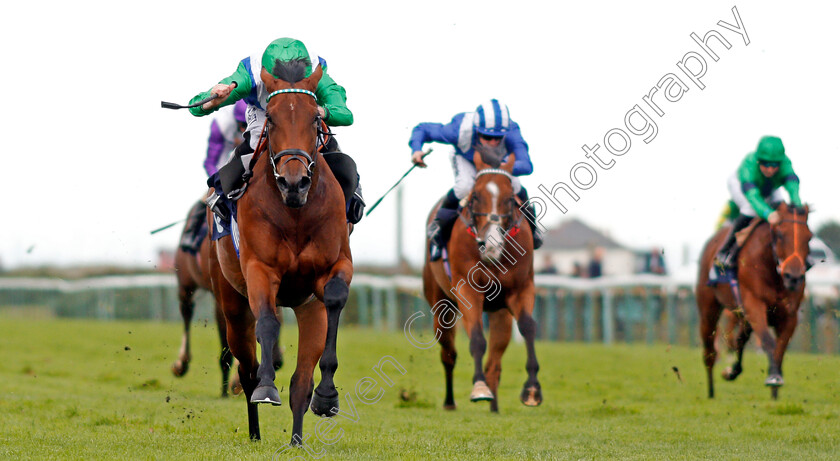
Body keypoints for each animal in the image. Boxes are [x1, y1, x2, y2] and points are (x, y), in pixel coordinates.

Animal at [212, 62, 356, 442]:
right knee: (246, 369)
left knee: (300, 382)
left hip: (308, 311)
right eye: (272, 119)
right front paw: (267, 387)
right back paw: (255, 432)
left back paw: (296, 440)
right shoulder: (260, 270)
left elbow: (335, 296)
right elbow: (267, 321)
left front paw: (327, 396)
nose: (295, 182)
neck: (295, 213)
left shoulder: (336, 265)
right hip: (232, 306)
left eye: (315, 118)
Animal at [424, 146, 540, 412]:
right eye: (476, 196)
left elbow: (528, 327)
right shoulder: (468, 290)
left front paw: (532, 389)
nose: (492, 245)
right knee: (448, 353)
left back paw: (495, 408)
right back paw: (449, 402)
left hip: (500, 313)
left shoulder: (521, 289)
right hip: (441, 306)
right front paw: (479, 388)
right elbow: (476, 338)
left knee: (494, 362)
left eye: (510, 198)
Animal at [696, 202, 808, 398]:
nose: (794, 277)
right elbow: (768, 341)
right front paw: (773, 378)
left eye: (809, 237)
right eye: (780, 234)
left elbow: (780, 348)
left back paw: (731, 372)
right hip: (709, 310)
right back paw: (711, 393)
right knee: (710, 351)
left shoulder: (789, 315)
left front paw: (775, 387)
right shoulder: (754, 306)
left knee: (739, 340)